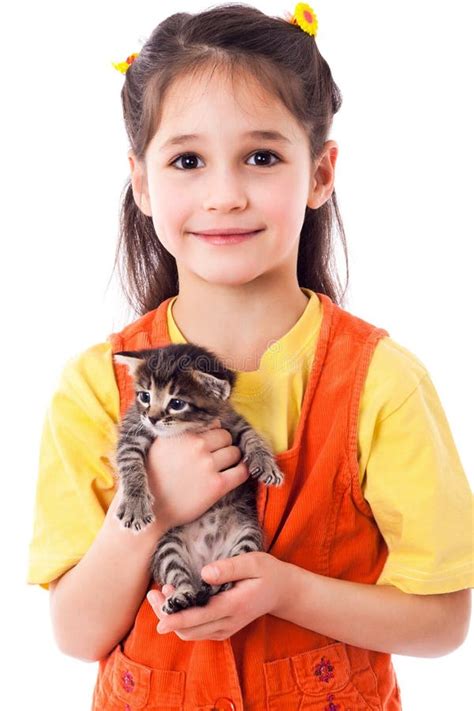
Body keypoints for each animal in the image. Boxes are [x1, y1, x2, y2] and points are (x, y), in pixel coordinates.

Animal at [113, 344, 284, 612]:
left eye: (177, 403)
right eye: (144, 396)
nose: (152, 418)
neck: (192, 428)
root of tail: (206, 560)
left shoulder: (230, 420)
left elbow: (250, 435)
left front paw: (266, 464)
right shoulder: (133, 428)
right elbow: (129, 461)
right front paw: (135, 505)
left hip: (248, 536)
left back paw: (216, 584)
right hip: (168, 547)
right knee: (179, 575)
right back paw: (181, 596)